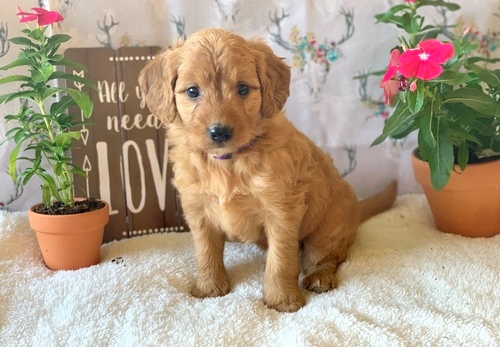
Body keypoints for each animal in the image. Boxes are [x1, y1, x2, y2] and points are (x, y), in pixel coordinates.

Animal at [139, 28, 396, 314]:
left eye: (242, 88)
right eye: (193, 91)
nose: (220, 132)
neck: (227, 161)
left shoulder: (281, 210)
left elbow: (280, 259)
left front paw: (282, 300)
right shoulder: (198, 209)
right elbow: (205, 252)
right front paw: (209, 288)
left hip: (327, 231)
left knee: (325, 257)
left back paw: (320, 276)